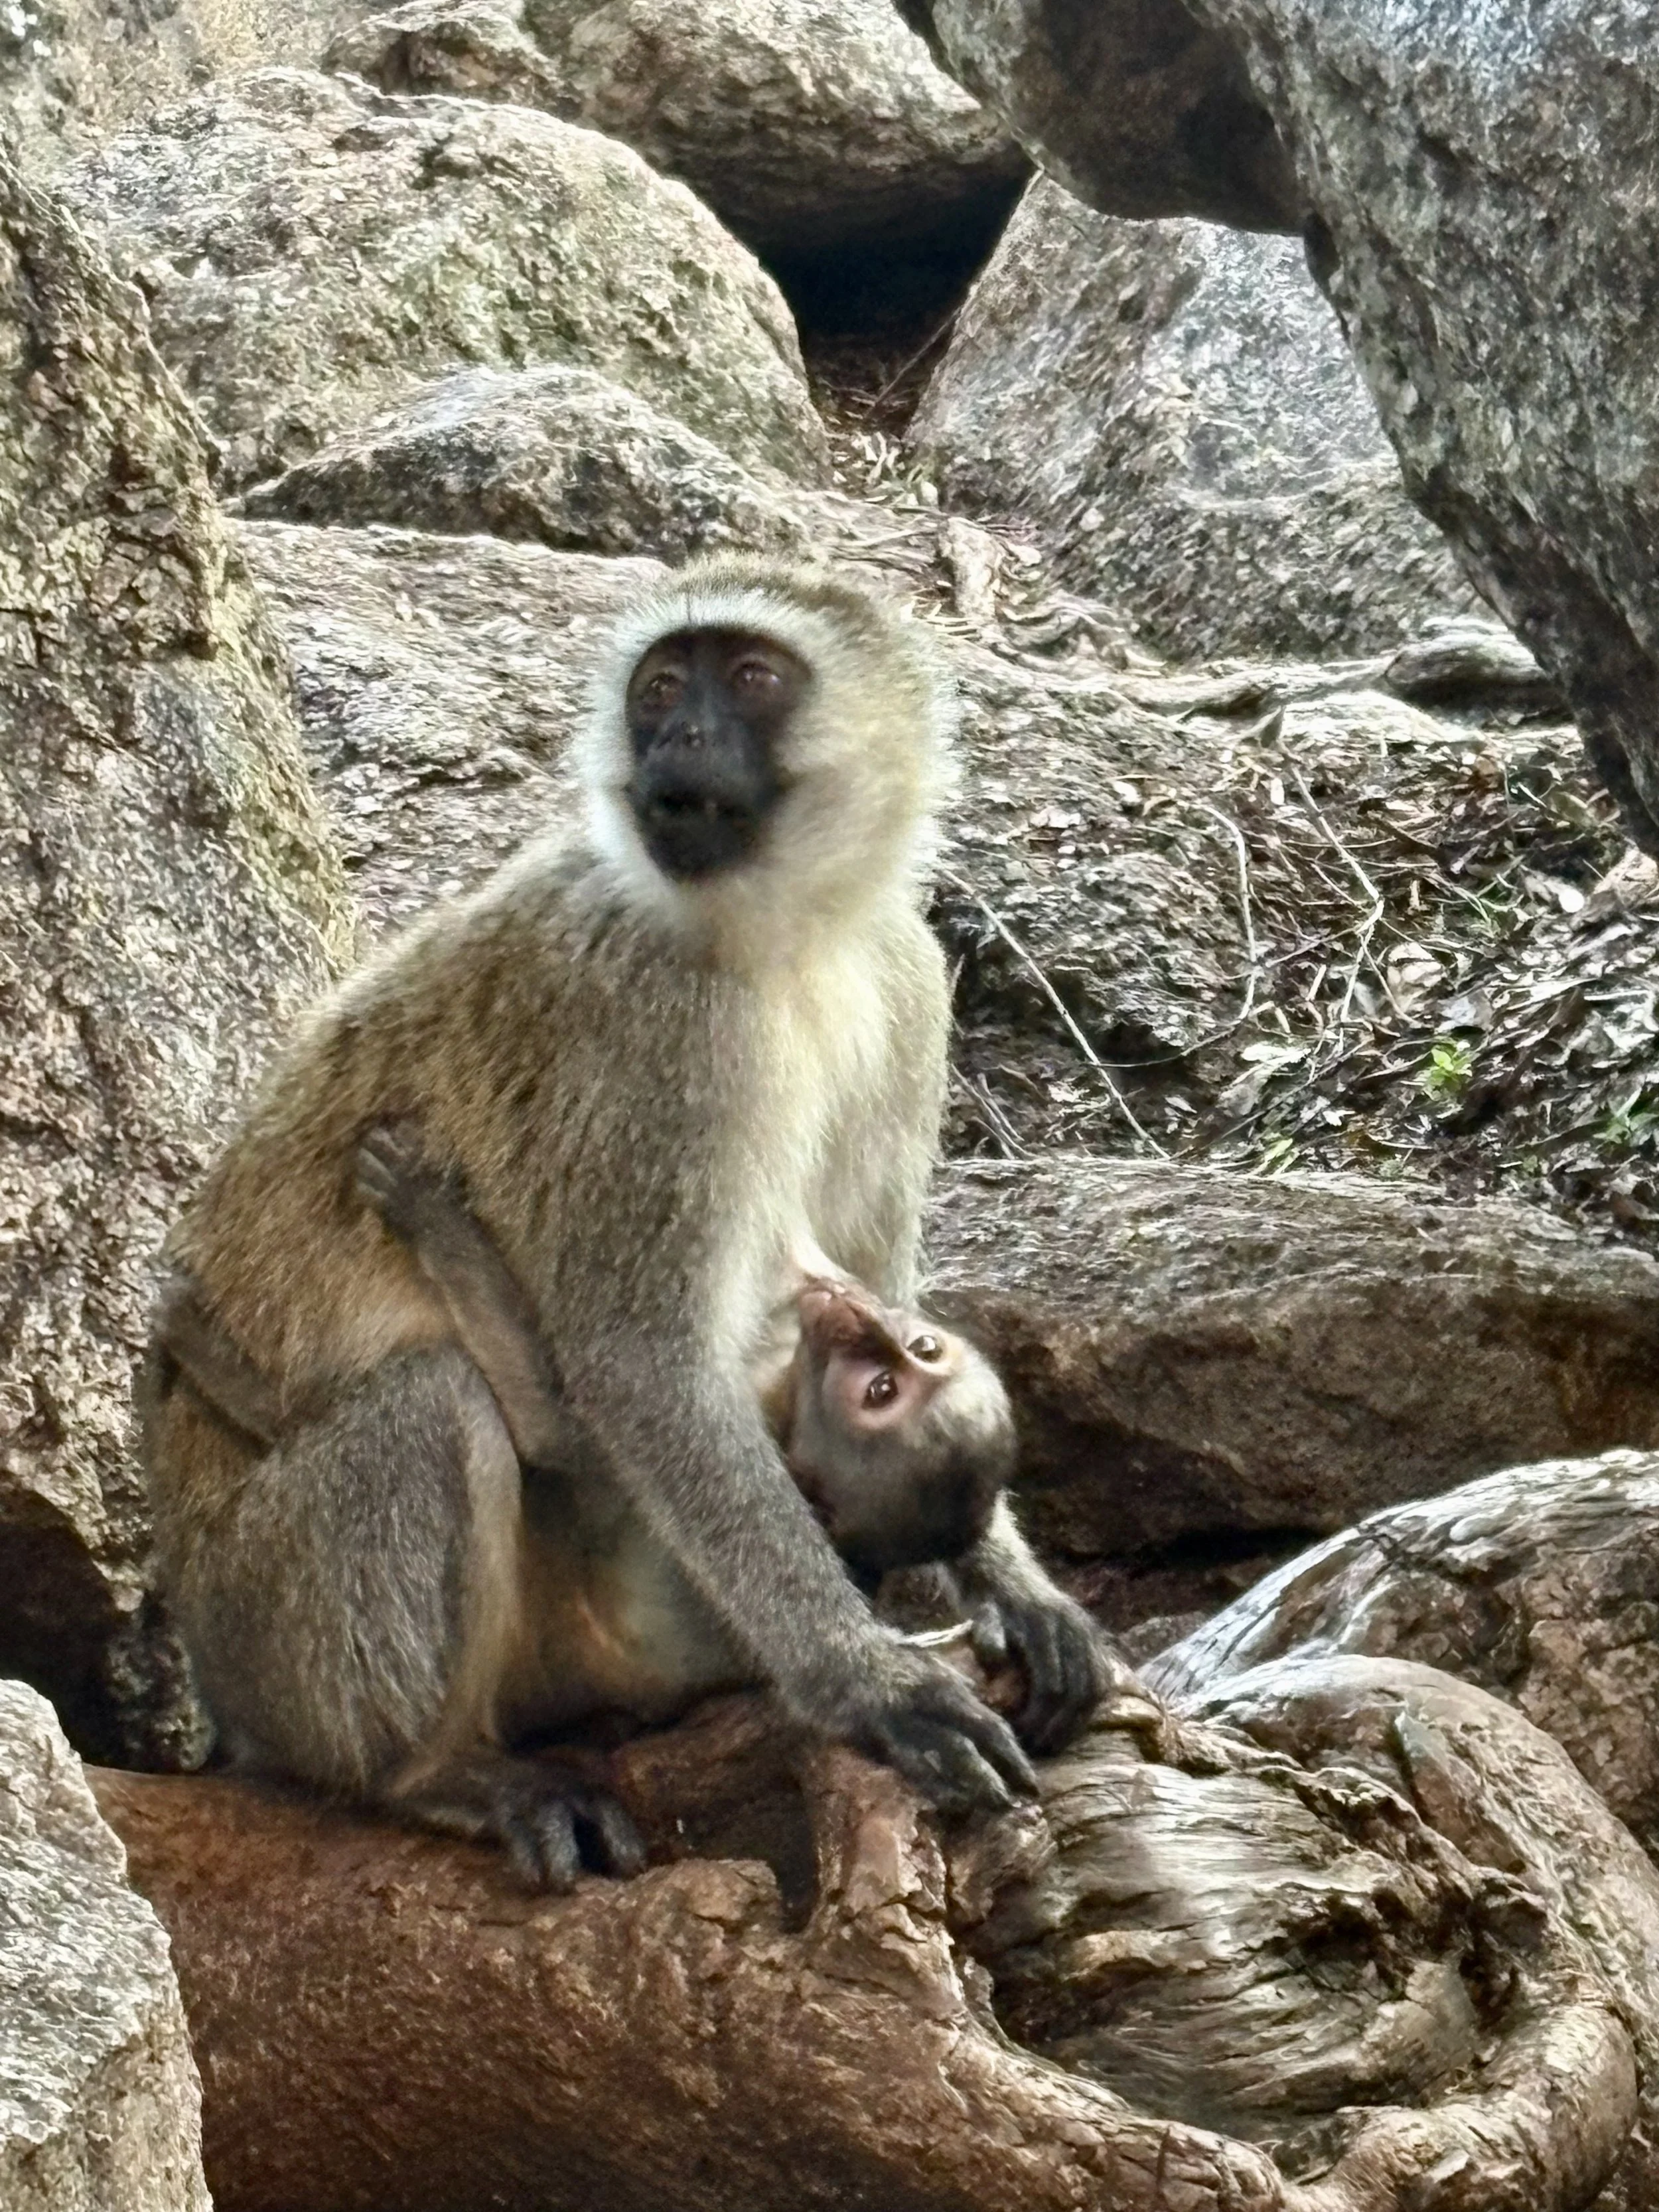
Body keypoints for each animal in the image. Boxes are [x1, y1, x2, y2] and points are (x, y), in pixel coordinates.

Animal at [142, 557, 1112, 1889]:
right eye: (660, 687)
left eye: (750, 677)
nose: (680, 737)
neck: (788, 932)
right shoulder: (661, 1035)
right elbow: (636, 1366)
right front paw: (864, 1680)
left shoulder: (906, 982)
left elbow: (859, 1276)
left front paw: (1008, 1580)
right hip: (259, 1623)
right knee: (437, 1404)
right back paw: (427, 1773)